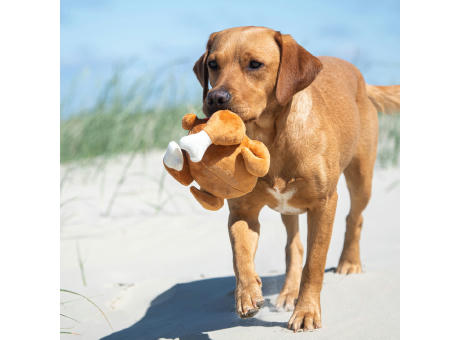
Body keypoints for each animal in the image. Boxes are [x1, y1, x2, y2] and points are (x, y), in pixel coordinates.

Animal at [192, 26, 398, 332]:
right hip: (289, 208)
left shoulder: (324, 204)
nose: (215, 98)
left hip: (361, 177)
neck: (271, 139)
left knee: (355, 217)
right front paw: (247, 293)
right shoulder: (242, 212)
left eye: (255, 64)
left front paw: (306, 311)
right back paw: (289, 291)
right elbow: (240, 254)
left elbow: (313, 265)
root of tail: (362, 79)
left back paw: (349, 262)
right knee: (293, 245)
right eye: (213, 64)